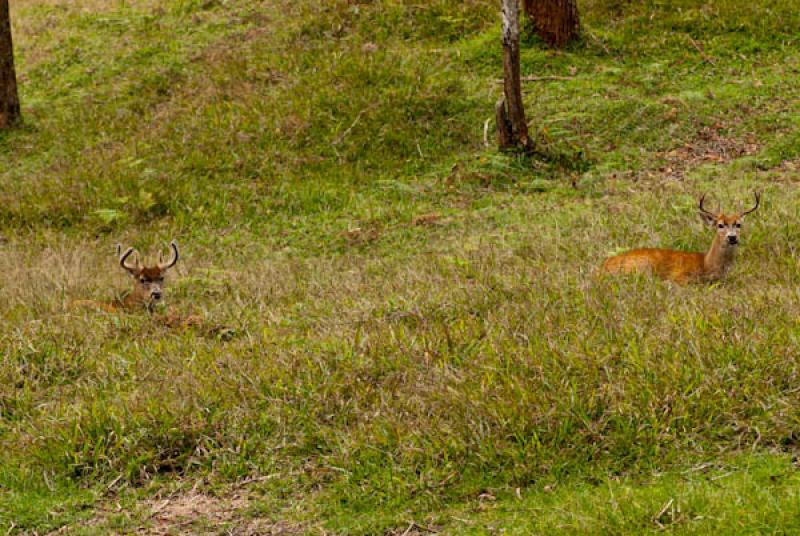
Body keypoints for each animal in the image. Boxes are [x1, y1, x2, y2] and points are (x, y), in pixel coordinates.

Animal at [600, 193, 764, 284]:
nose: (732, 237)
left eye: (739, 224)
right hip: (642, 266)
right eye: (720, 225)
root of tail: (600, 270)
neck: (706, 264)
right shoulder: (680, 275)